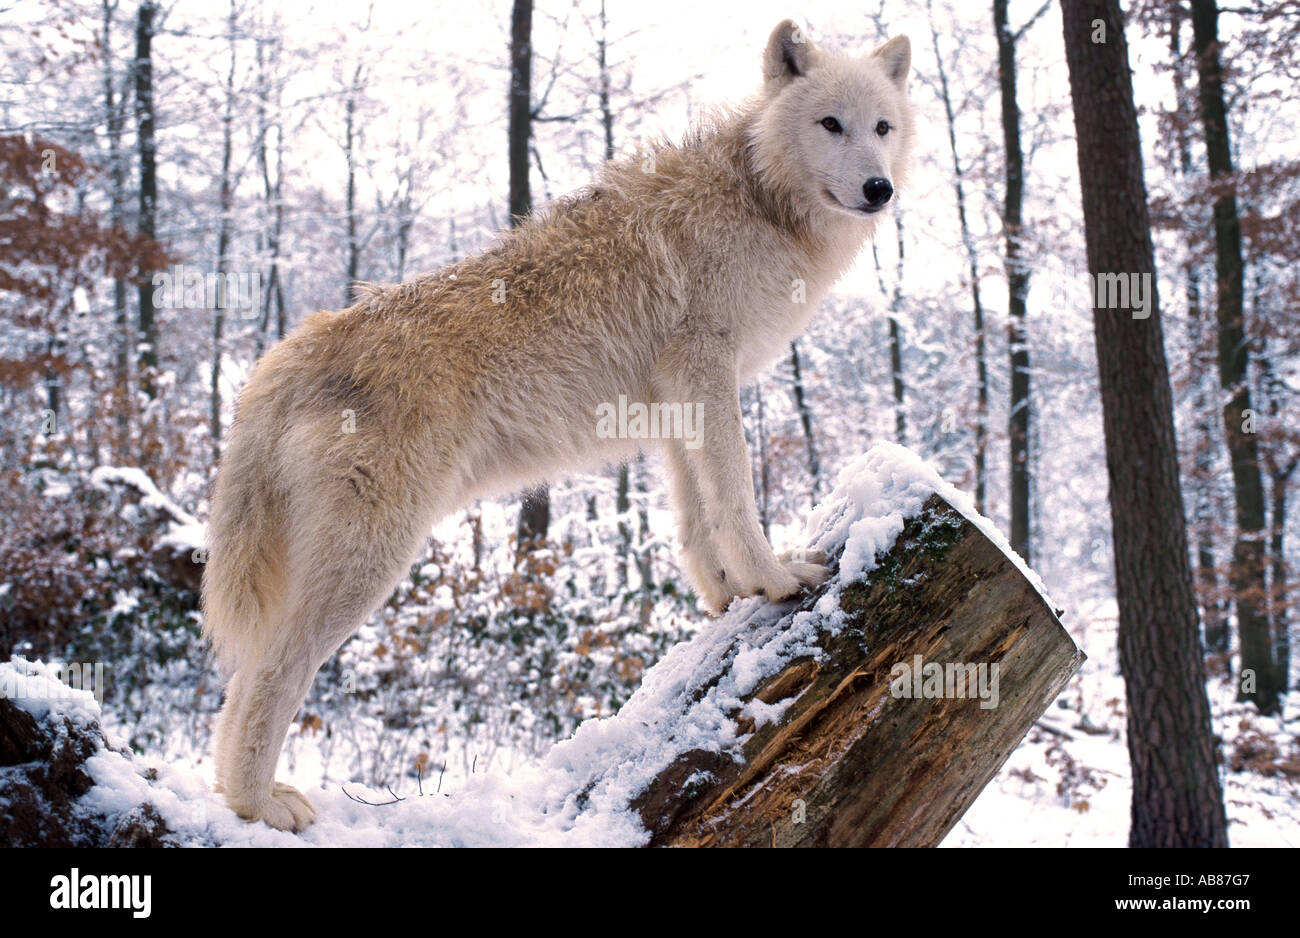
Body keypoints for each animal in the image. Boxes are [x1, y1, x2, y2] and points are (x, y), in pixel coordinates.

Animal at [202, 20, 915, 826]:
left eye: (882, 127)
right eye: (830, 124)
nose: (880, 188)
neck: (756, 195)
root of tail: (288, 355)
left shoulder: (677, 401)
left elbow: (696, 522)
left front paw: (727, 598)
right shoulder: (708, 372)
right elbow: (735, 496)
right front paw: (773, 580)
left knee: (237, 683)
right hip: (368, 564)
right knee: (268, 675)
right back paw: (258, 807)